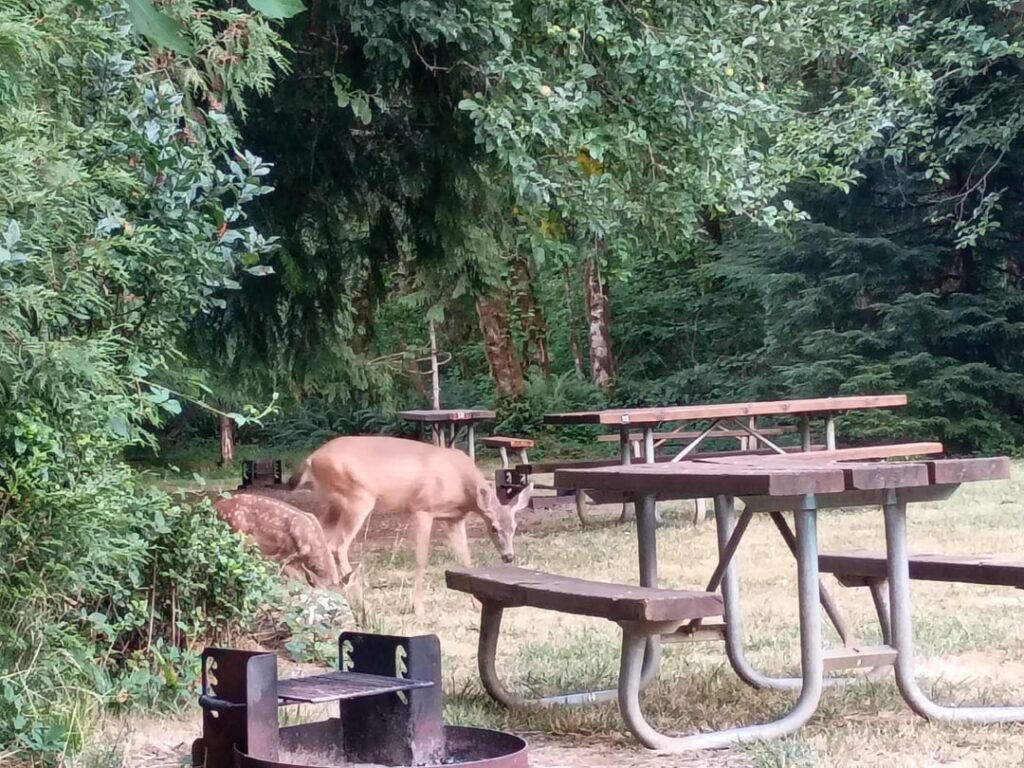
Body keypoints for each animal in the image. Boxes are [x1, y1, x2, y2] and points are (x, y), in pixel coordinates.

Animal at [287, 435, 534, 615]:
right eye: (493, 528)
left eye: (514, 527)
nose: (508, 556)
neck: (460, 483)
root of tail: (311, 459)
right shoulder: (423, 508)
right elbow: (421, 558)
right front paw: (418, 607)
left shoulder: (455, 518)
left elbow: (464, 557)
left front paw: (476, 603)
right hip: (357, 499)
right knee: (337, 545)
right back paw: (362, 603)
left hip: (335, 504)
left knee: (317, 538)